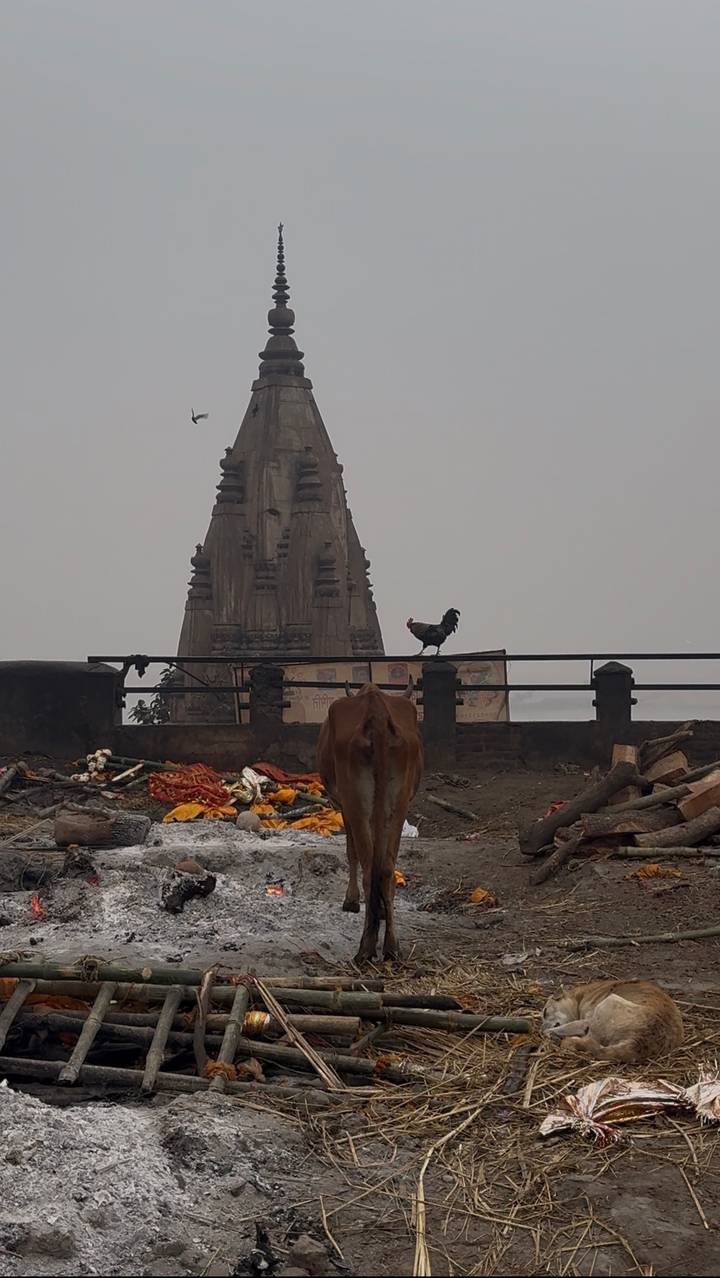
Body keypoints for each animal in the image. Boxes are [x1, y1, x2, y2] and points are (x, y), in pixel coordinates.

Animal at [317, 682, 423, 963]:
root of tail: (377, 712)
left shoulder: (343, 805)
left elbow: (351, 850)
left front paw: (351, 901)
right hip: (398, 801)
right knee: (385, 868)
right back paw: (391, 946)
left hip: (355, 800)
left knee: (368, 866)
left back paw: (366, 946)